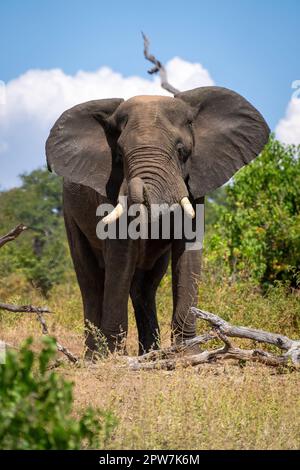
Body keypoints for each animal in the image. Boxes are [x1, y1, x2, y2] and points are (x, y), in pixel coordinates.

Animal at [46, 86, 270, 354]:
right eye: (119, 155)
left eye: (181, 150)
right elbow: (120, 256)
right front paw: (116, 358)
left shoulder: (195, 187)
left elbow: (189, 255)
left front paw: (188, 354)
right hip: (70, 211)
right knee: (91, 281)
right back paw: (96, 357)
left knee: (144, 285)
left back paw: (150, 353)